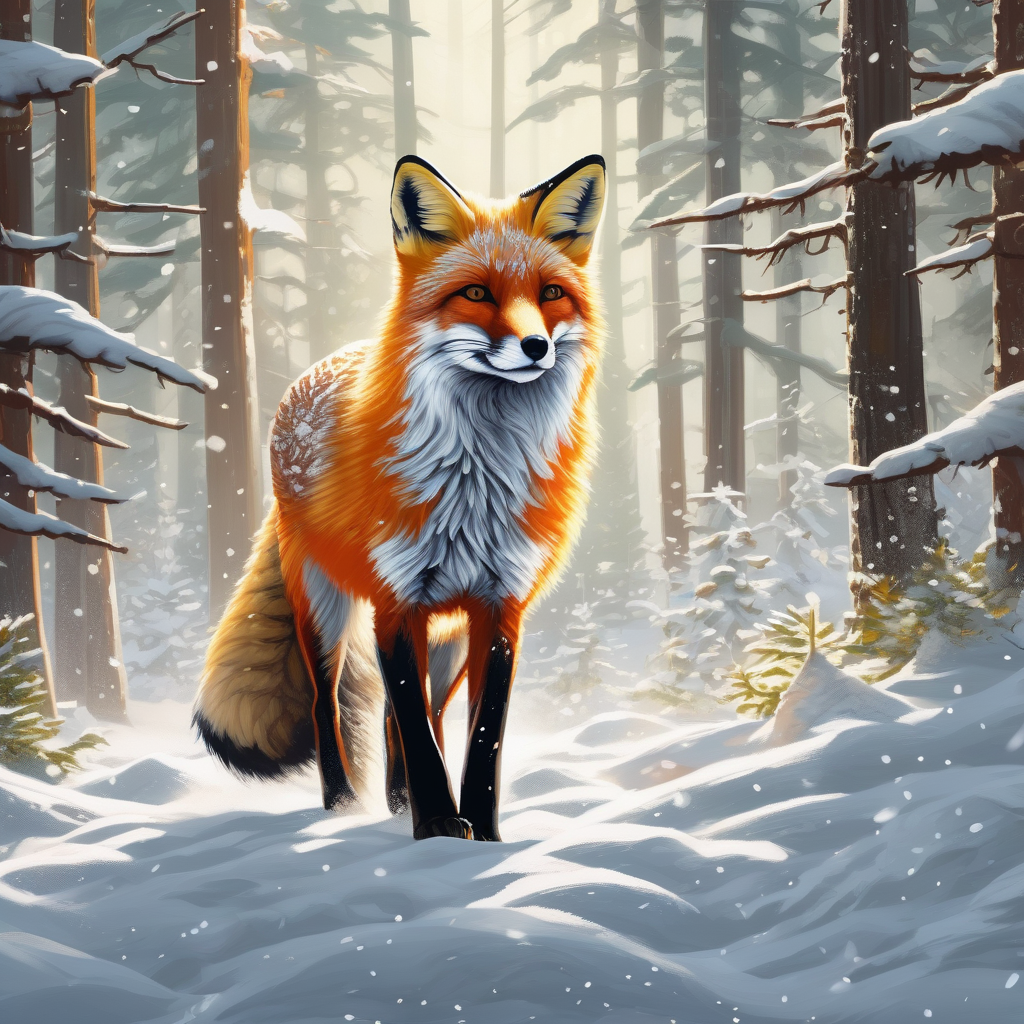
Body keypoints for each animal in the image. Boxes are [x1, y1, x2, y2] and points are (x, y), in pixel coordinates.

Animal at [194, 154, 606, 841]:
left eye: (550, 294)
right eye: (476, 293)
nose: (536, 347)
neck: (479, 478)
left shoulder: (500, 608)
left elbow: (481, 734)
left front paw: (481, 832)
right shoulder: (396, 599)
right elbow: (415, 728)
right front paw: (438, 824)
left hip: (447, 637)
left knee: (410, 711)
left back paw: (395, 802)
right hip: (326, 607)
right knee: (330, 703)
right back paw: (344, 806)